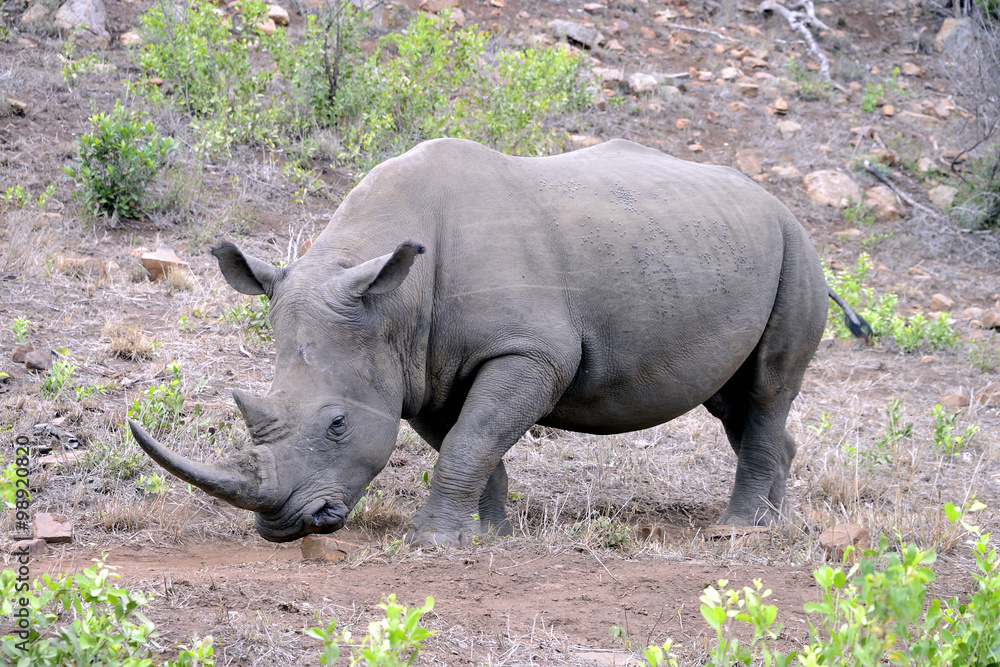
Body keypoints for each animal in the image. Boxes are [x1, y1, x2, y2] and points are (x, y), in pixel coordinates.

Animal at [129, 138, 869, 546]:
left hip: (797, 248)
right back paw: (777, 520)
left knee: (767, 385)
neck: (390, 303)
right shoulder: (417, 367)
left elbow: (473, 436)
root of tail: (777, 204)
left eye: (337, 423)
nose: (287, 524)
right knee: (733, 401)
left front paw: (432, 541)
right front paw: (484, 532)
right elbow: (466, 440)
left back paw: (740, 530)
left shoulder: (529, 351)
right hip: (724, 244)